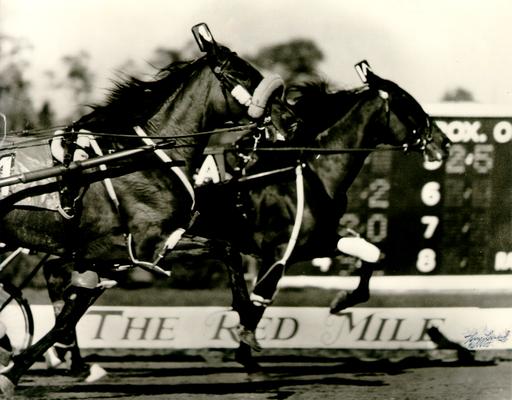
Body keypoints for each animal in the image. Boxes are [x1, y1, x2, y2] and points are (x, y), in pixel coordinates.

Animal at [0, 25, 288, 396]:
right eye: (243, 74)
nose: (290, 117)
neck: (137, 158)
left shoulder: (108, 255)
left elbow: (69, 314)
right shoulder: (140, 247)